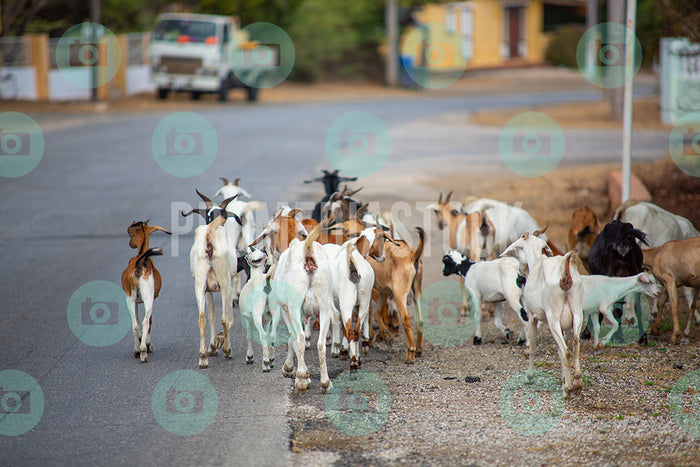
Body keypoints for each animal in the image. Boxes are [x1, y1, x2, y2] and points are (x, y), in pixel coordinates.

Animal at [504, 231, 584, 394]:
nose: (519, 275)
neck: (536, 262)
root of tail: (564, 273)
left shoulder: (531, 317)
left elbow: (533, 347)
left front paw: (529, 377)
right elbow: (559, 351)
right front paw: (564, 377)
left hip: (553, 317)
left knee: (566, 351)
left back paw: (568, 388)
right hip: (577, 312)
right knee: (575, 343)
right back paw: (577, 380)